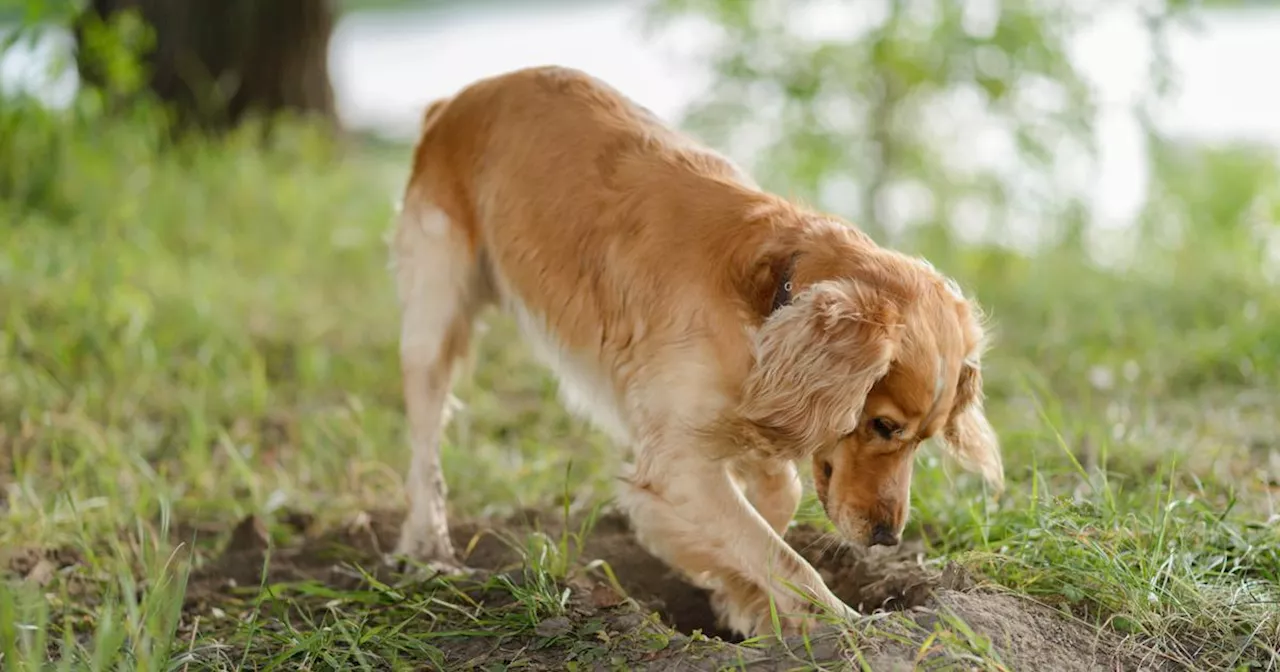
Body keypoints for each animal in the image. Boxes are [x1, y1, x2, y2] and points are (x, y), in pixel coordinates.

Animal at [384, 65, 1003, 637]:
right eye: (882, 426)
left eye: (923, 439)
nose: (887, 537)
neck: (767, 301)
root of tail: (459, 98)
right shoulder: (679, 459)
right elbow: (785, 559)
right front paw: (838, 623)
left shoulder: (750, 416)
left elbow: (775, 503)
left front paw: (738, 597)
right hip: (434, 319)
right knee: (424, 450)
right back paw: (427, 549)